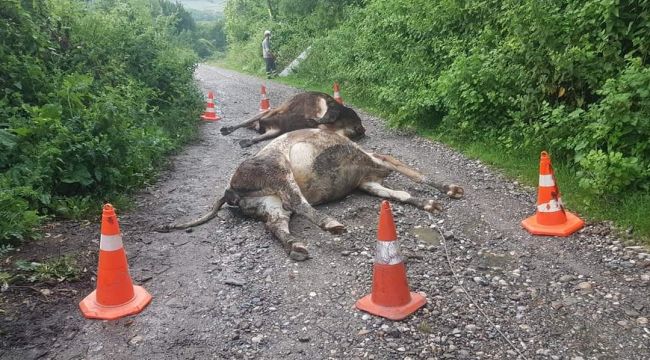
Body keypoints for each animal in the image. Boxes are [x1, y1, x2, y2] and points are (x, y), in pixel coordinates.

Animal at [165, 129, 464, 262]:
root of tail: (229, 189)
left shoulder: (368, 183)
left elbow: (399, 194)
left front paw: (427, 203)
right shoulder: (377, 162)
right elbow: (415, 175)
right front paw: (449, 189)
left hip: (268, 202)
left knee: (275, 223)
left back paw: (296, 246)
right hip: (279, 170)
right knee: (298, 202)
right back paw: (331, 224)